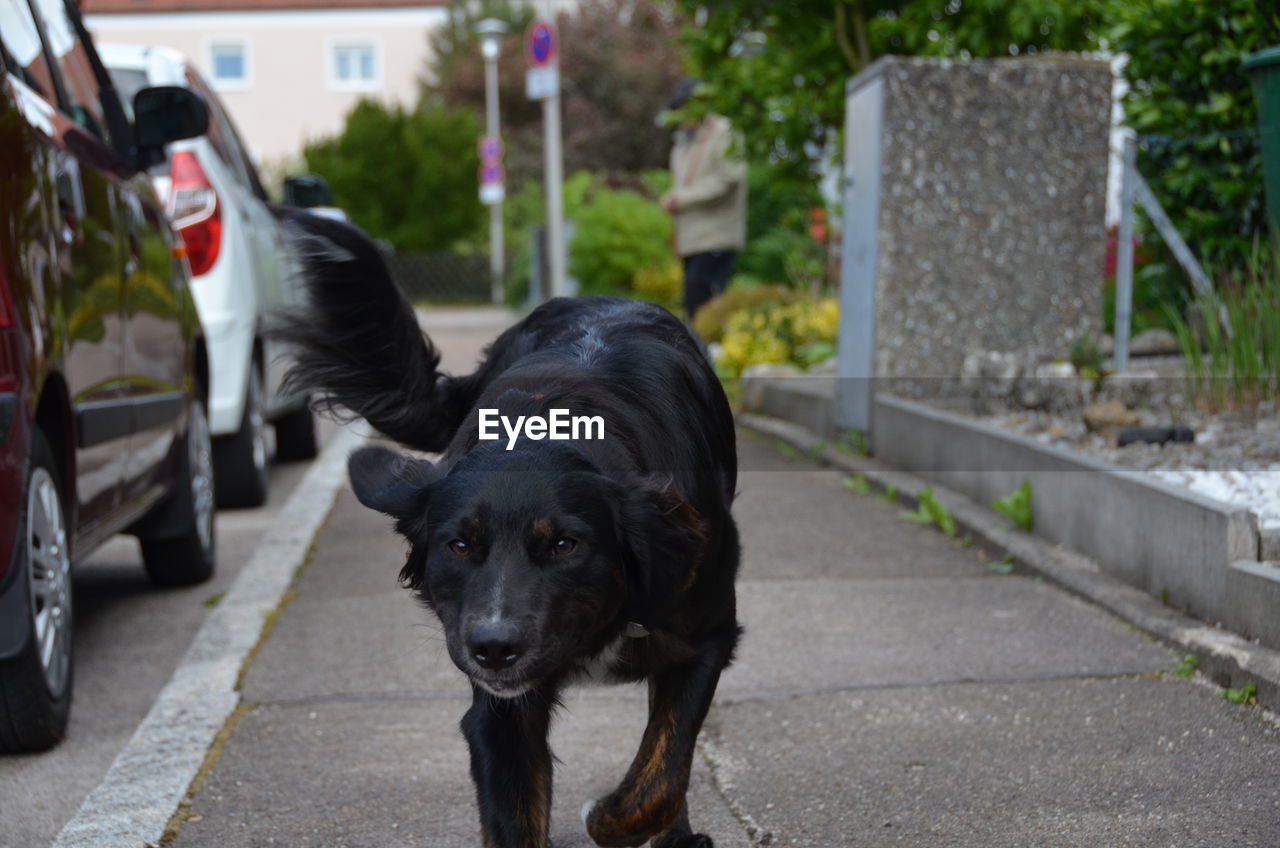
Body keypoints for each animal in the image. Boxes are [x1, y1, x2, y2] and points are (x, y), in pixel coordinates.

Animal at [279, 213, 742, 848]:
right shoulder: (501, 712)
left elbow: (660, 779)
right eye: (460, 545)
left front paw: (607, 817)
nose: (494, 648)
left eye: (565, 545)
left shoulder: (706, 637)